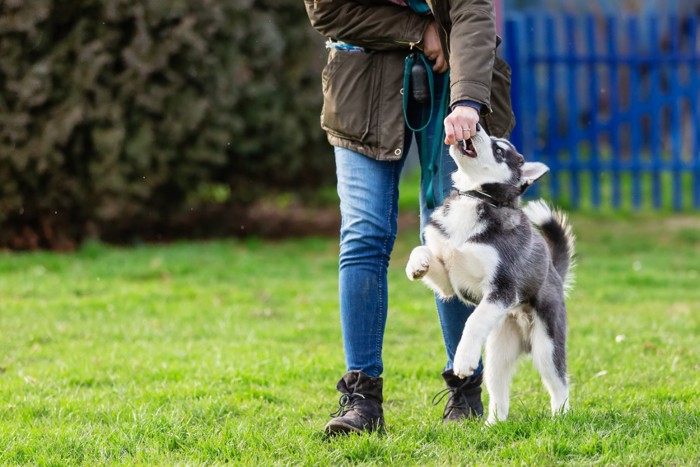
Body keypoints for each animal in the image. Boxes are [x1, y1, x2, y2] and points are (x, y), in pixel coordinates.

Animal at [404, 126, 576, 426]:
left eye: (499, 150)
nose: (475, 126)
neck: (475, 198)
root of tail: (553, 272)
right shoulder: (449, 283)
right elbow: (423, 248)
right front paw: (417, 264)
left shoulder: (503, 289)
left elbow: (473, 321)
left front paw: (463, 360)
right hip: (498, 353)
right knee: (499, 391)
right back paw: (494, 424)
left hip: (547, 345)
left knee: (559, 383)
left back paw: (560, 417)